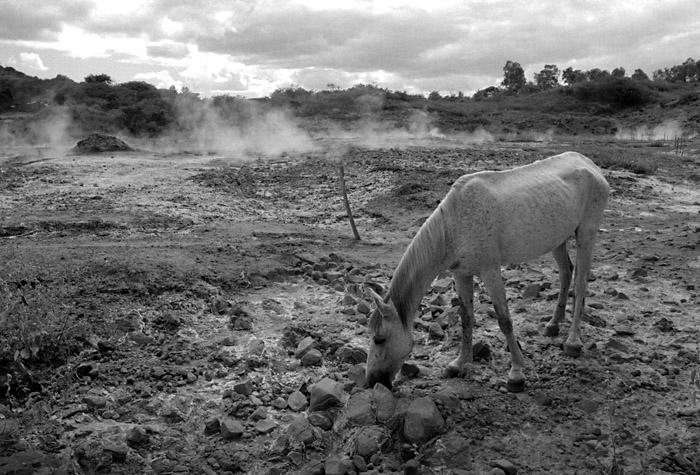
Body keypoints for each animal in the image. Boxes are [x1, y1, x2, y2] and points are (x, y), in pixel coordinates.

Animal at [364, 151, 608, 392]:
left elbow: (504, 320)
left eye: (379, 339)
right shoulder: (461, 274)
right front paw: (459, 364)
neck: (454, 226)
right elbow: (466, 318)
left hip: (586, 234)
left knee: (580, 283)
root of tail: (590, 164)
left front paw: (516, 373)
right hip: (558, 240)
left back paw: (573, 341)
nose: (371, 381)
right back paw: (553, 324)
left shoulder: (490, 272)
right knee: (566, 273)